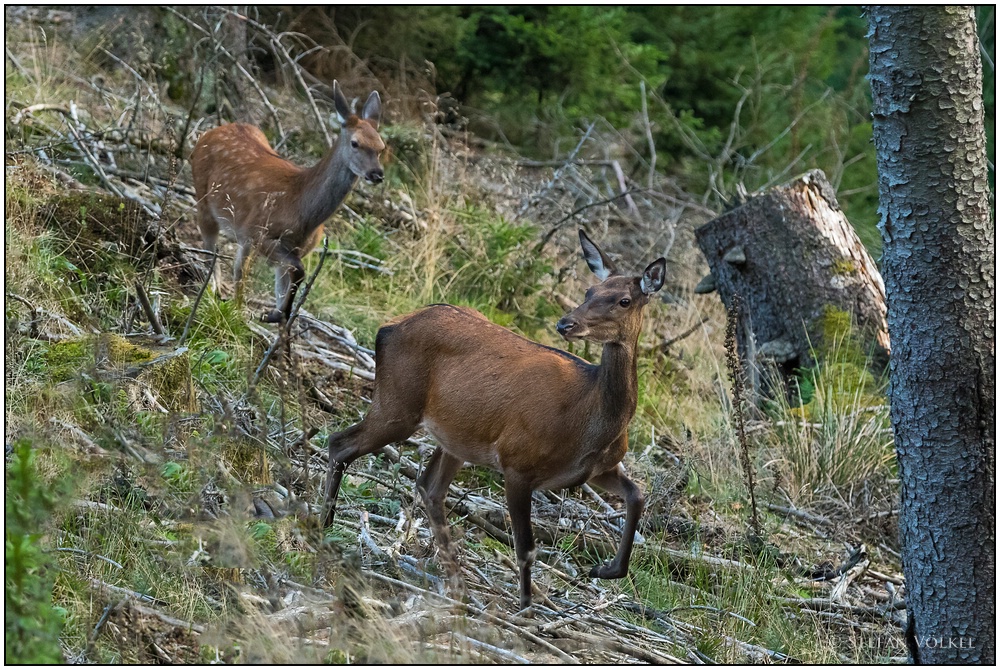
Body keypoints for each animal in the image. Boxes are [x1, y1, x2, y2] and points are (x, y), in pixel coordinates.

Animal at [189, 81, 384, 322]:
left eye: (381, 147)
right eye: (355, 143)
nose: (377, 174)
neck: (301, 210)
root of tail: (206, 134)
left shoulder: (289, 249)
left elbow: (287, 281)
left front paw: (277, 314)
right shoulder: (258, 232)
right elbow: (299, 270)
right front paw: (275, 313)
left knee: (238, 269)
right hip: (205, 201)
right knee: (212, 253)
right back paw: (214, 293)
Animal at [322, 232, 664, 616]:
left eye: (623, 300)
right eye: (590, 290)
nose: (566, 323)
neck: (590, 424)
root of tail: (388, 325)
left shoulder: (596, 469)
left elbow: (637, 495)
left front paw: (606, 569)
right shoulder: (518, 462)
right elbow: (526, 546)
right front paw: (527, 610)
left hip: (454, 434)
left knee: (429, 486)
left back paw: (457, 582)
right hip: (397, 404)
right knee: (340, 442)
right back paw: (324, 525)